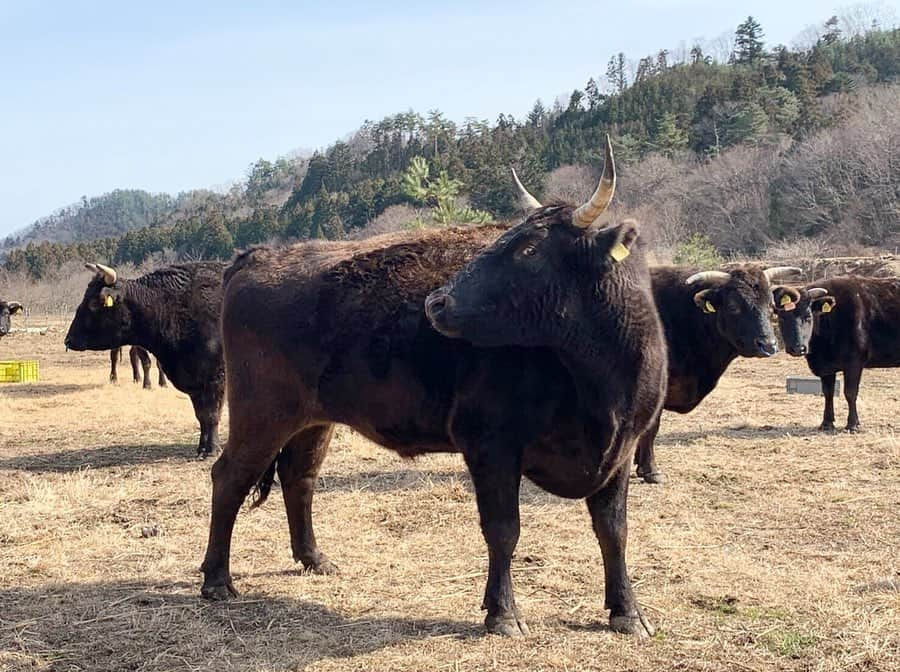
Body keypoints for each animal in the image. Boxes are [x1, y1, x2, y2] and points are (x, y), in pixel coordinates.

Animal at [63, 262, 225, 456]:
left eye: (94, 303)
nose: (68, 340)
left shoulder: (215, 378)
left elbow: (212, 415)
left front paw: (212, 449)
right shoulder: (193, 381)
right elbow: (201, 416)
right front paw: (201, 447)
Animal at [202, 140, 668, 636]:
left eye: (528, 248)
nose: (437, 302)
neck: (600, 381)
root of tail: (257, 257)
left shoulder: (621, 450)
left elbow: (613, 530)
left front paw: (628, 612)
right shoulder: (490, 445)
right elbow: (503, 529)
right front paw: (503, 613)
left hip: (313, 421)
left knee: (299, 478)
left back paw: (314, 558)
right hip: (261, 415)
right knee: (229, 477)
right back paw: (217, 580)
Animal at [768, 276, 900, 430]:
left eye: (808, 316)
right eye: (782, 318)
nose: (798, 348)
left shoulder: (854, 362)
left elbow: (850, 392)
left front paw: (852, 424)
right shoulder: (826, 367)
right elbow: (828, 392)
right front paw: (827, 422)